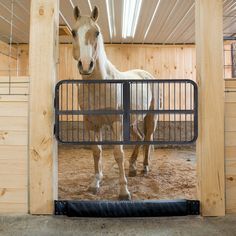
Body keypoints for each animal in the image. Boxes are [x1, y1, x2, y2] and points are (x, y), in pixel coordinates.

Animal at [71, 6, 157, 200]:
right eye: (73, 32)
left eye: (97, 32)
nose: (86, 65)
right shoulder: (92, 124)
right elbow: (96, 151)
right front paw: (95, 183)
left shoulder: (116, 123)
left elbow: (118, 153)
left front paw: (124, 191)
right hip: (132, 122)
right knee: (140, 138)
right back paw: (132, 167)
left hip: (151, 116)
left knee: (148, 139)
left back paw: (145, 167)